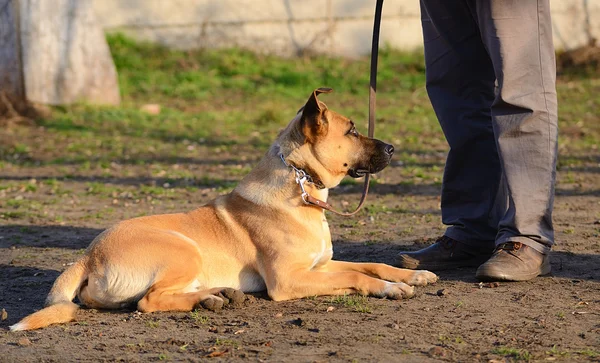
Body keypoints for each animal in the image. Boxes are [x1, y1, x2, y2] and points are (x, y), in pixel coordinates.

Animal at [10, 88, 436, 332]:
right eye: (351, 130)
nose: (393, 148)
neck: (300, 185)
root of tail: (87, 255)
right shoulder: (290, 280)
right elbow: (357, 277)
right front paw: (391, 289)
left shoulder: (320, 265)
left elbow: (371, 264)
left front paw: (411, 275)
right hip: (184, 248)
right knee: (148, 301)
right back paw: (209, 300)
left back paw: (217, 295)